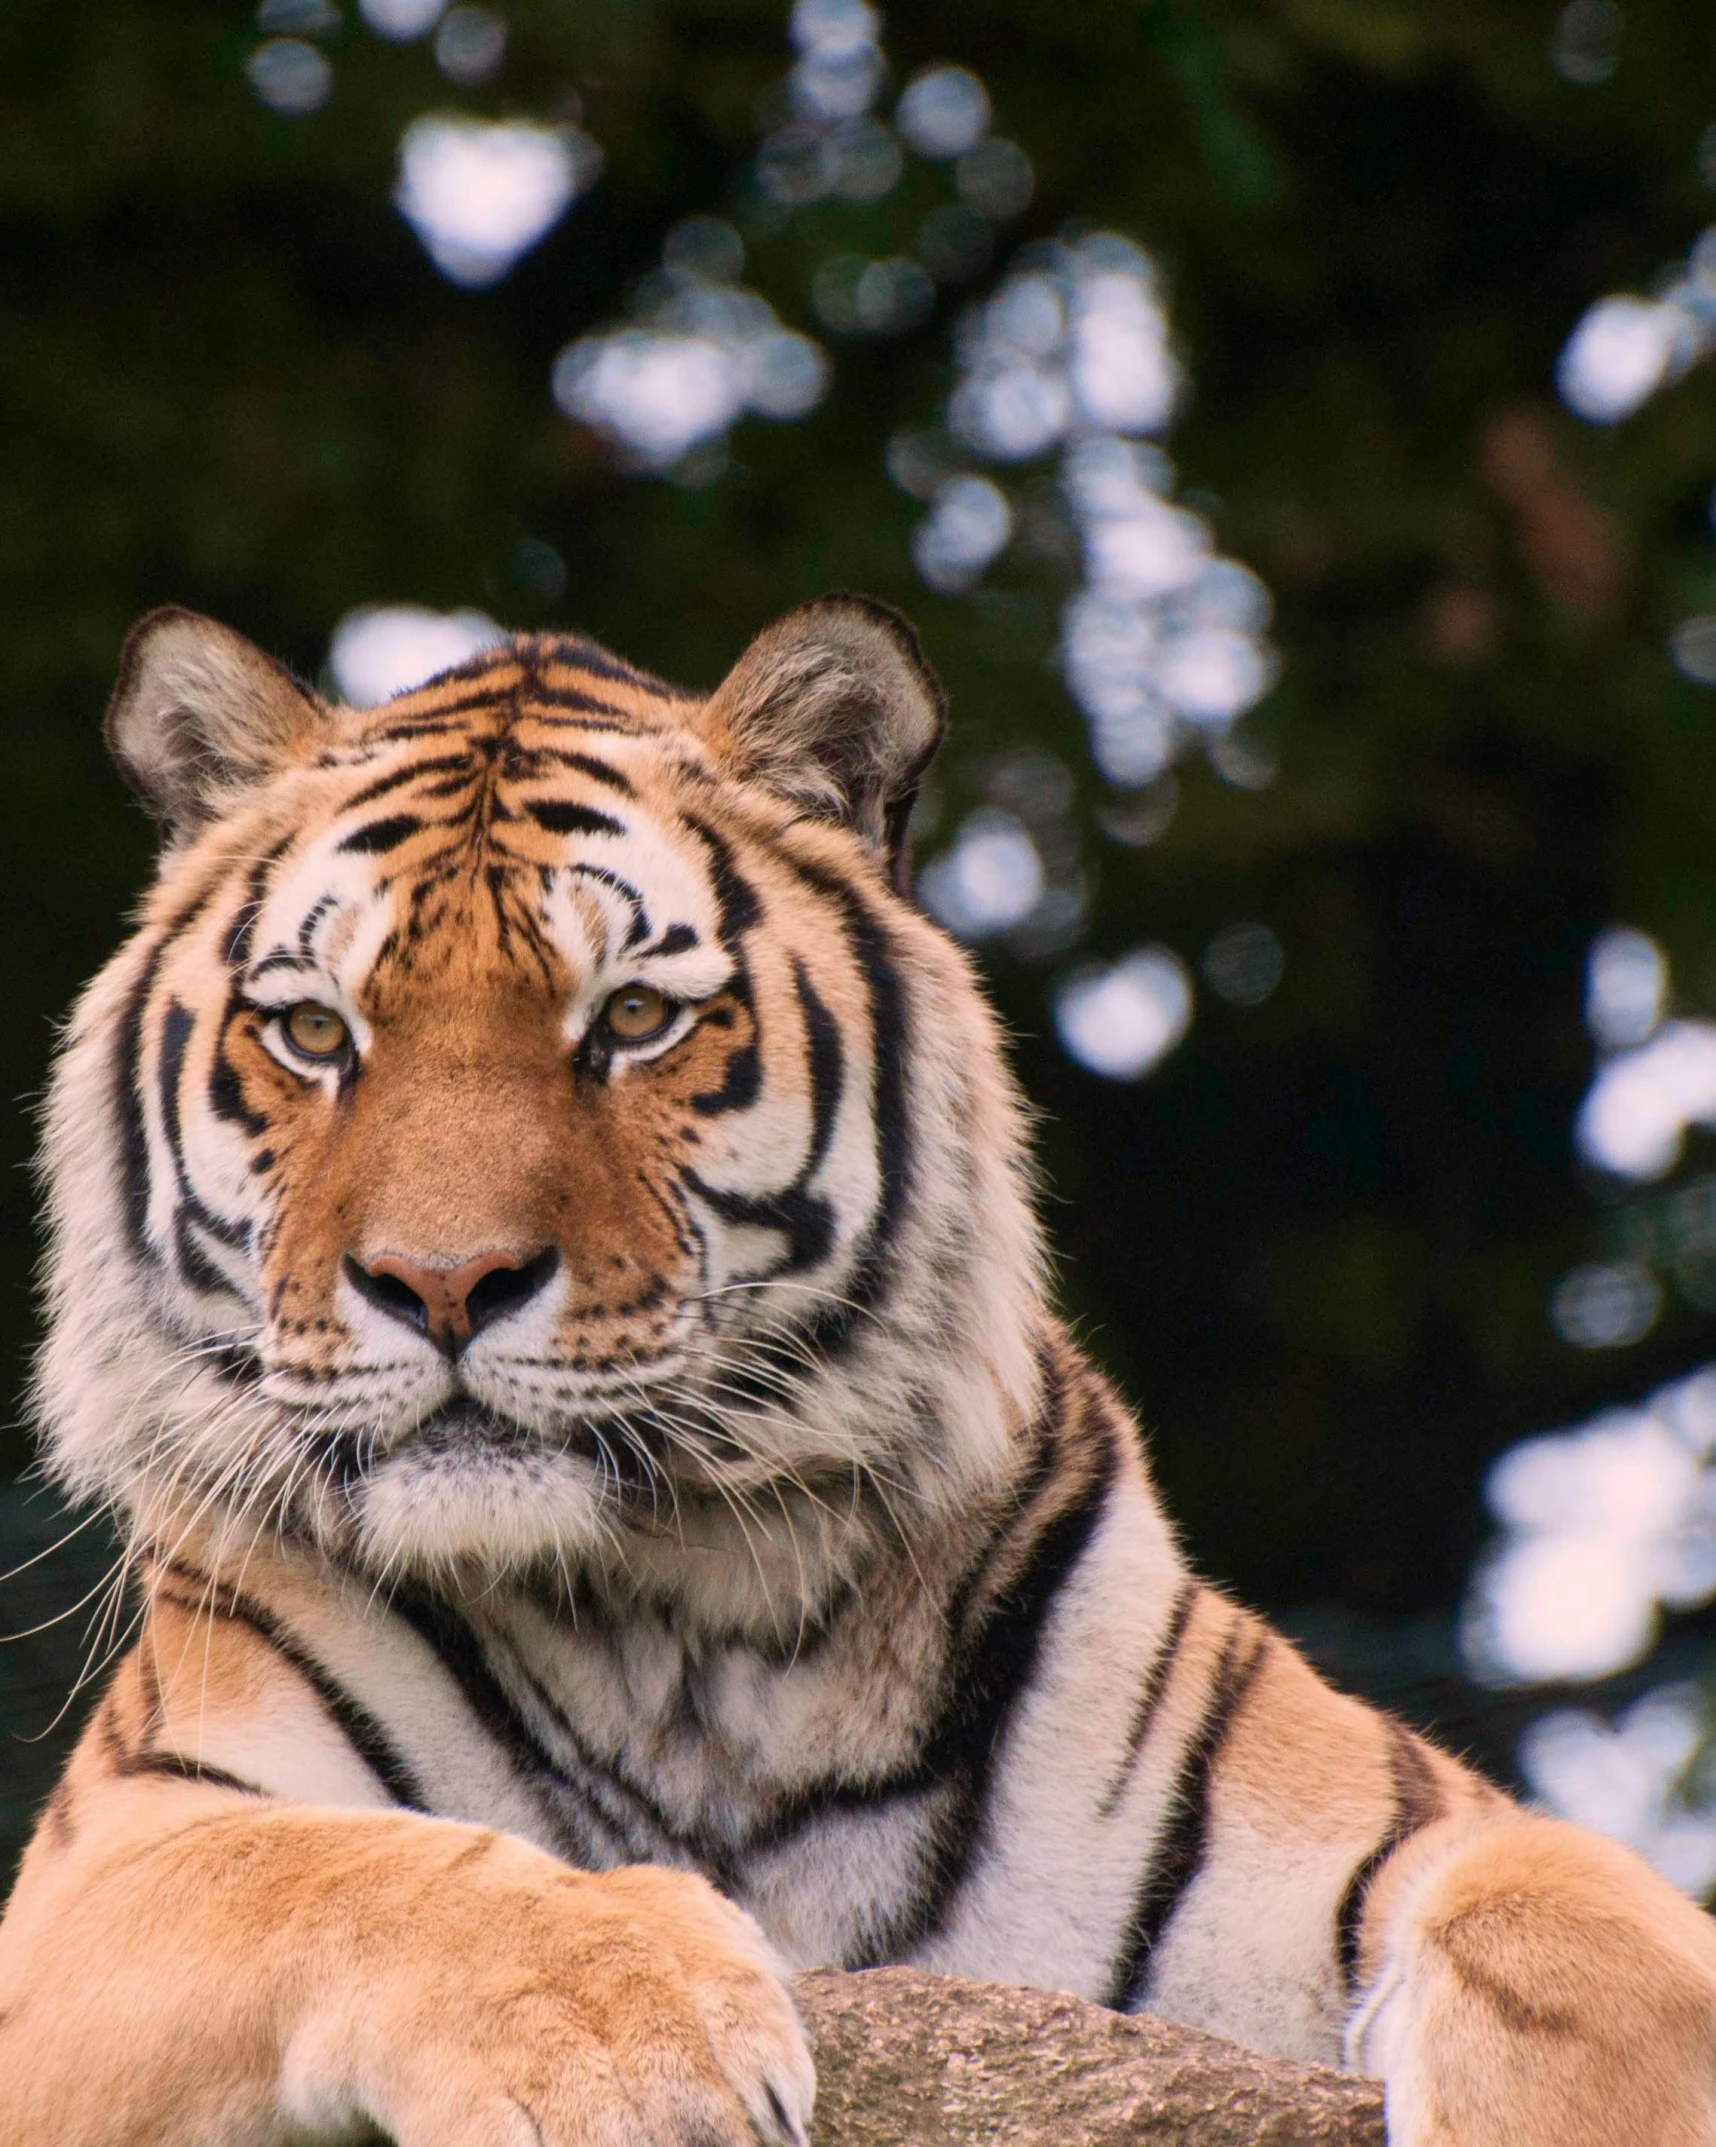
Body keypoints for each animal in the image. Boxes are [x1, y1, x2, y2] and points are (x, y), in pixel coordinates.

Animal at [3, 601, 1716, 2147]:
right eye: (311, 1031)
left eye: (635, 1016)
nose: (442, 1283)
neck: (678, 1625)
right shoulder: (108, 1861)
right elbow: (357, 1870)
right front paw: (626, 2045)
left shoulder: (1410, 1821)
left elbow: (1570, 1910)